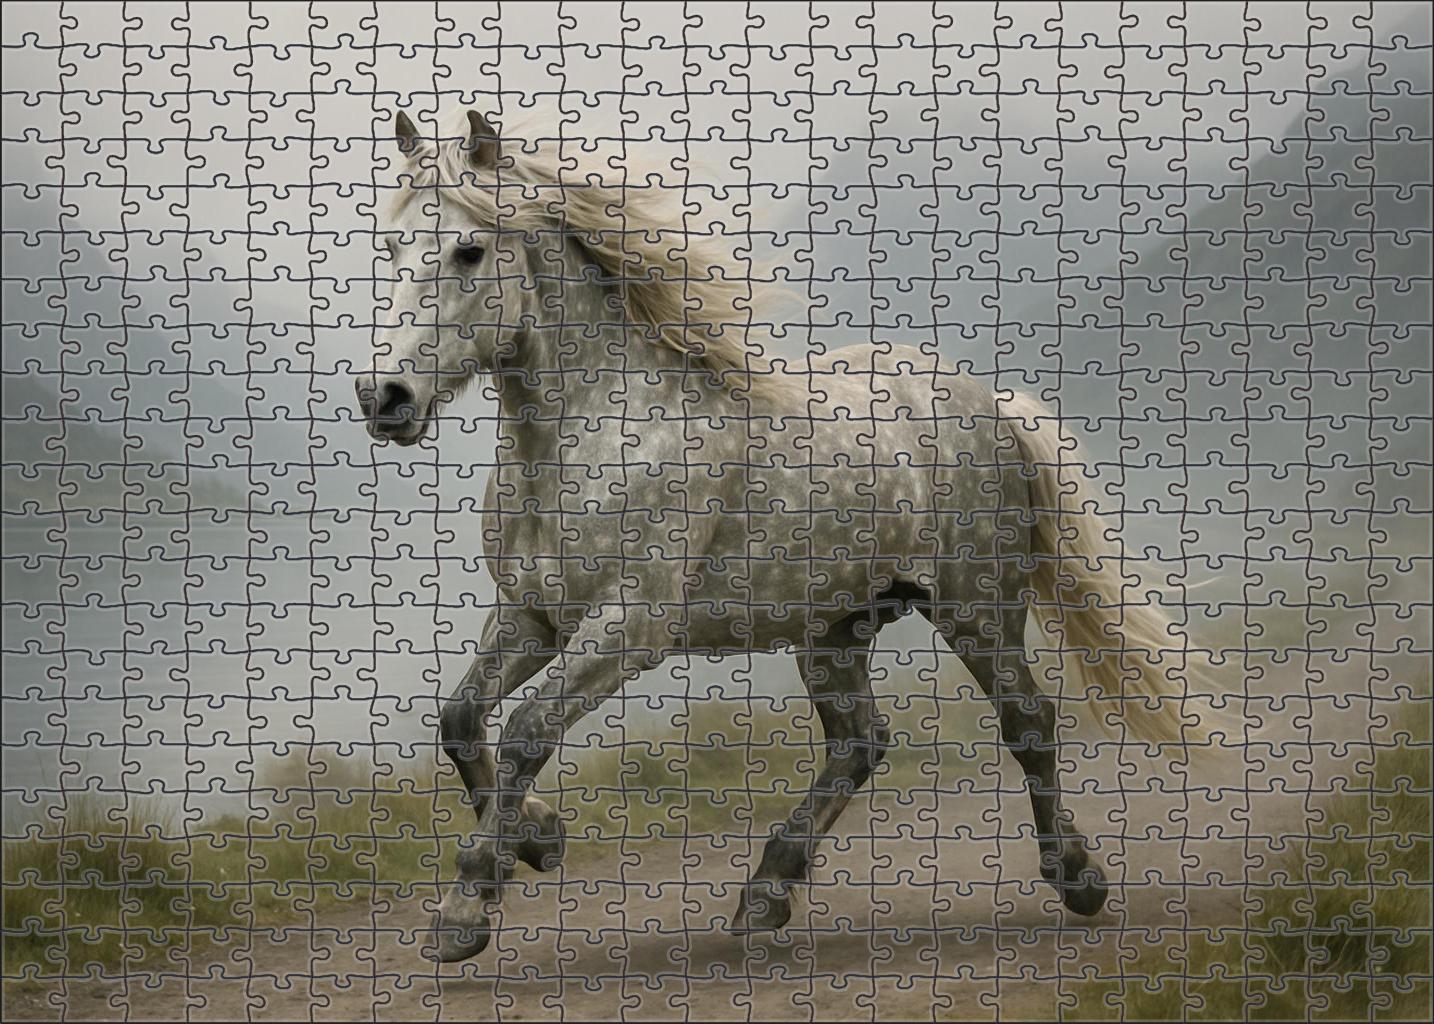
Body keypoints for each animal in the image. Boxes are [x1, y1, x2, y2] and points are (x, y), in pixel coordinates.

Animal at [353, 110, 1203, 963]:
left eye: (468, 250)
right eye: (389, 247)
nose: (384, 397)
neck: (595, 434)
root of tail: (990, 404)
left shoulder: (630, 626)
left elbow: (528, 731)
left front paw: (466, 906)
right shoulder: (531, 615)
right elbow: (460, 720)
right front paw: (537, 839)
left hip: (977, 609)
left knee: (1028, 721)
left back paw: (1077, 878)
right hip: (835, 626)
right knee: (860, 743)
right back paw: (765, 893)